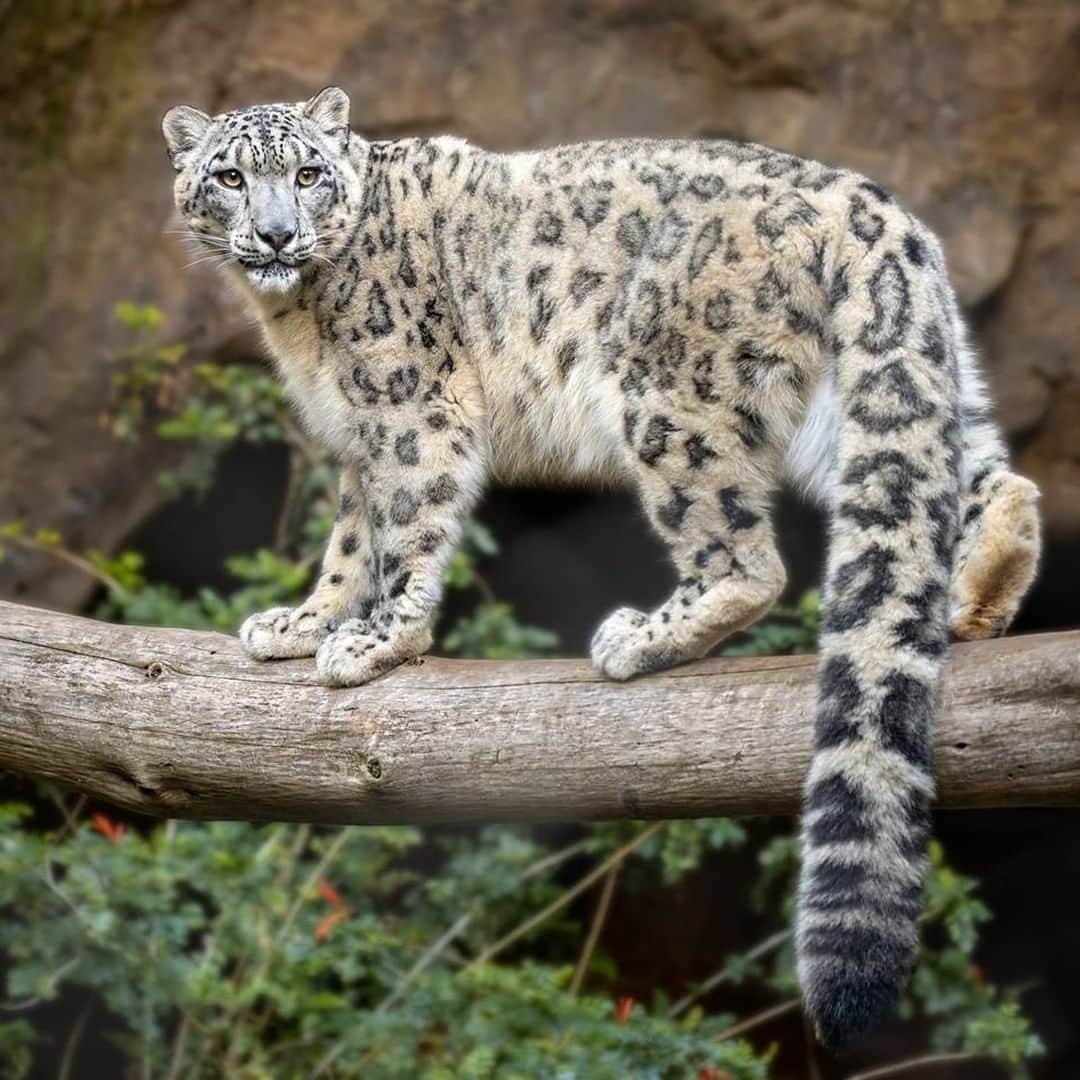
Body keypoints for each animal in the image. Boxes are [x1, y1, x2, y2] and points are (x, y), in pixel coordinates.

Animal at [164, 88, 1041, 1049]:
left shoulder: (408, 410)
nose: (277, 234)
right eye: (231, 175)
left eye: (309, 174)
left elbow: (405, 530)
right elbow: (352, 542)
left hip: (670, 399)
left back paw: (641, 637)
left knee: (748, 559)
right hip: (880, 398)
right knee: (995, 486)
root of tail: (874, 208)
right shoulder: (362, 440)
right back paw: (969, 606)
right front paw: (304, 622)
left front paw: (375, 640)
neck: (300, 317)